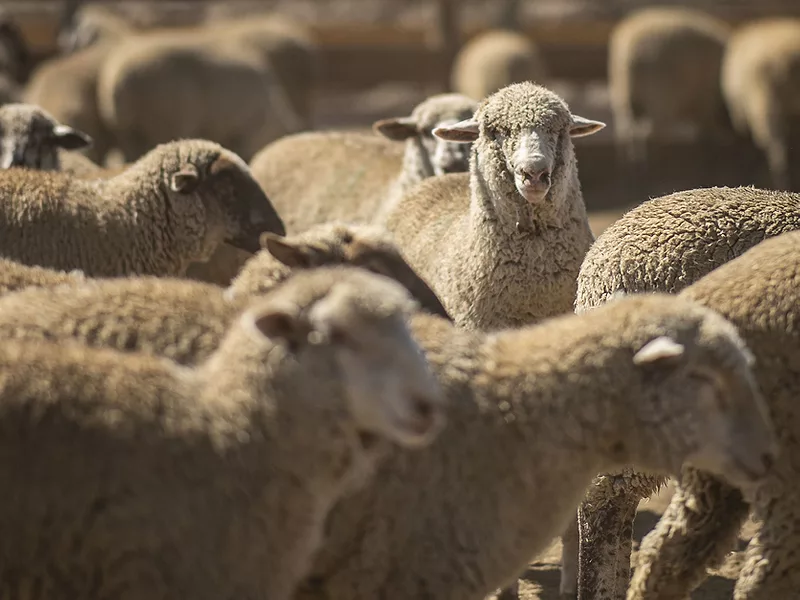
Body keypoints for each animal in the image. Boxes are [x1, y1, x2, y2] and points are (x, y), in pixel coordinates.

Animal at [608, 7, 731, 163]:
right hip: (661, 95)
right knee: (651, 133)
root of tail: (630, 55)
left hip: (623, 97)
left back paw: (629, 159)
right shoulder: (705, 98)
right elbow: (707, 124)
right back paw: (656, 157)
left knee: (625, 132)